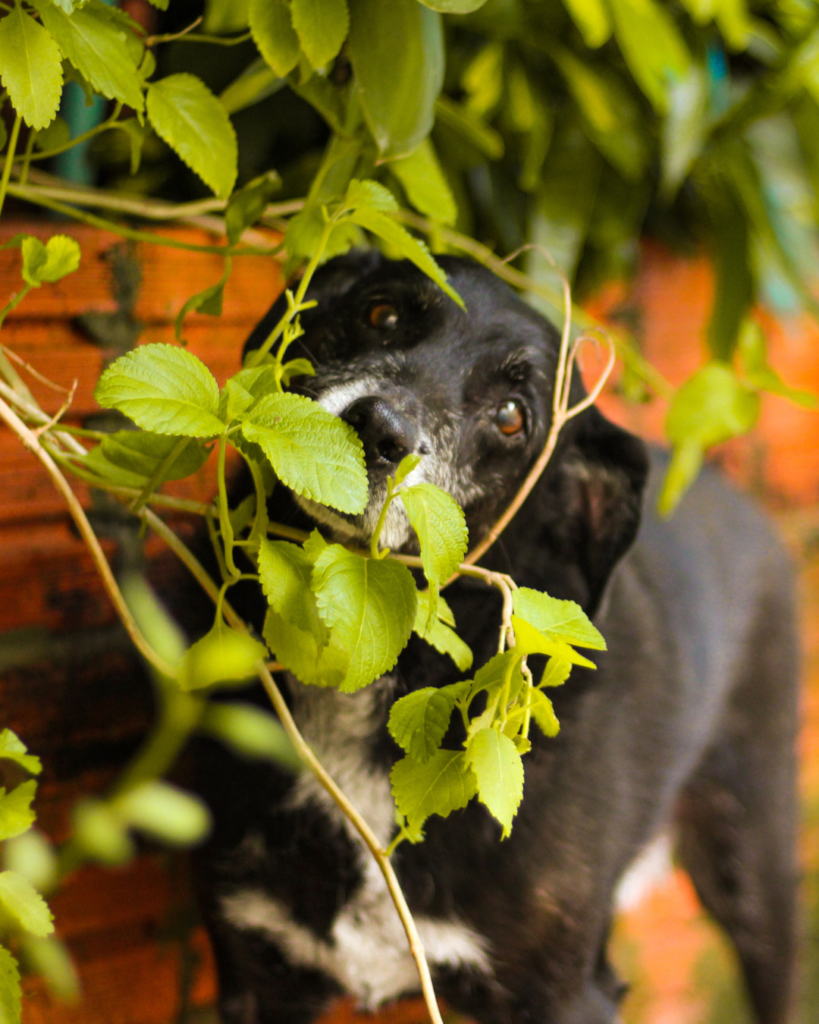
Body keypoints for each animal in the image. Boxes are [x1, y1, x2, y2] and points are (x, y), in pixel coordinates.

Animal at [190, 251, 794, 1024]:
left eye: (511, 417)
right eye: (382, 312)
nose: (376, 426)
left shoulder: (565, 995)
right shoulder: (258, 972)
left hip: (754, 865)